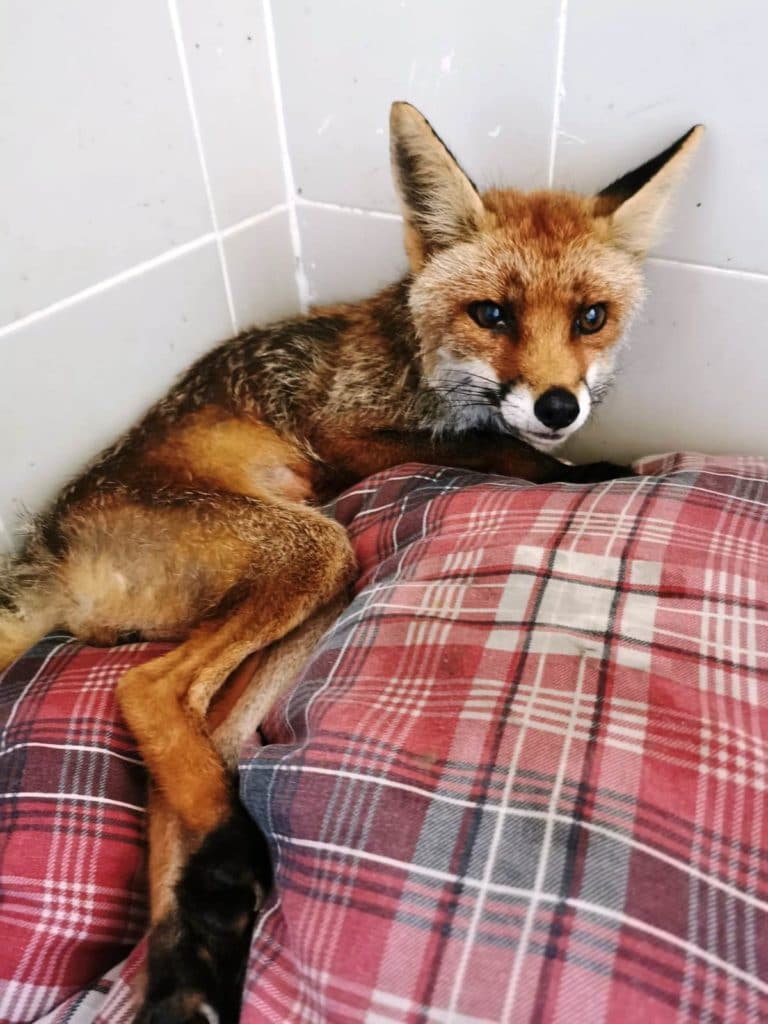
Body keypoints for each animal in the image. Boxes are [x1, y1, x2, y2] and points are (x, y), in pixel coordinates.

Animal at [0, 102, 702, 1022]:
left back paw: (189, 960)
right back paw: (227, 867)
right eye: (492, 314)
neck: (416, 357)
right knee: (147, 692)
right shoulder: (345, 435)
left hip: (322, 587)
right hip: (315, 547)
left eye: (592, 317)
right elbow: (493, 448)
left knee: (199, 738)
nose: (560, 405)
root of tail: (48, 547)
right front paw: (580, 471)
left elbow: (497, 442)